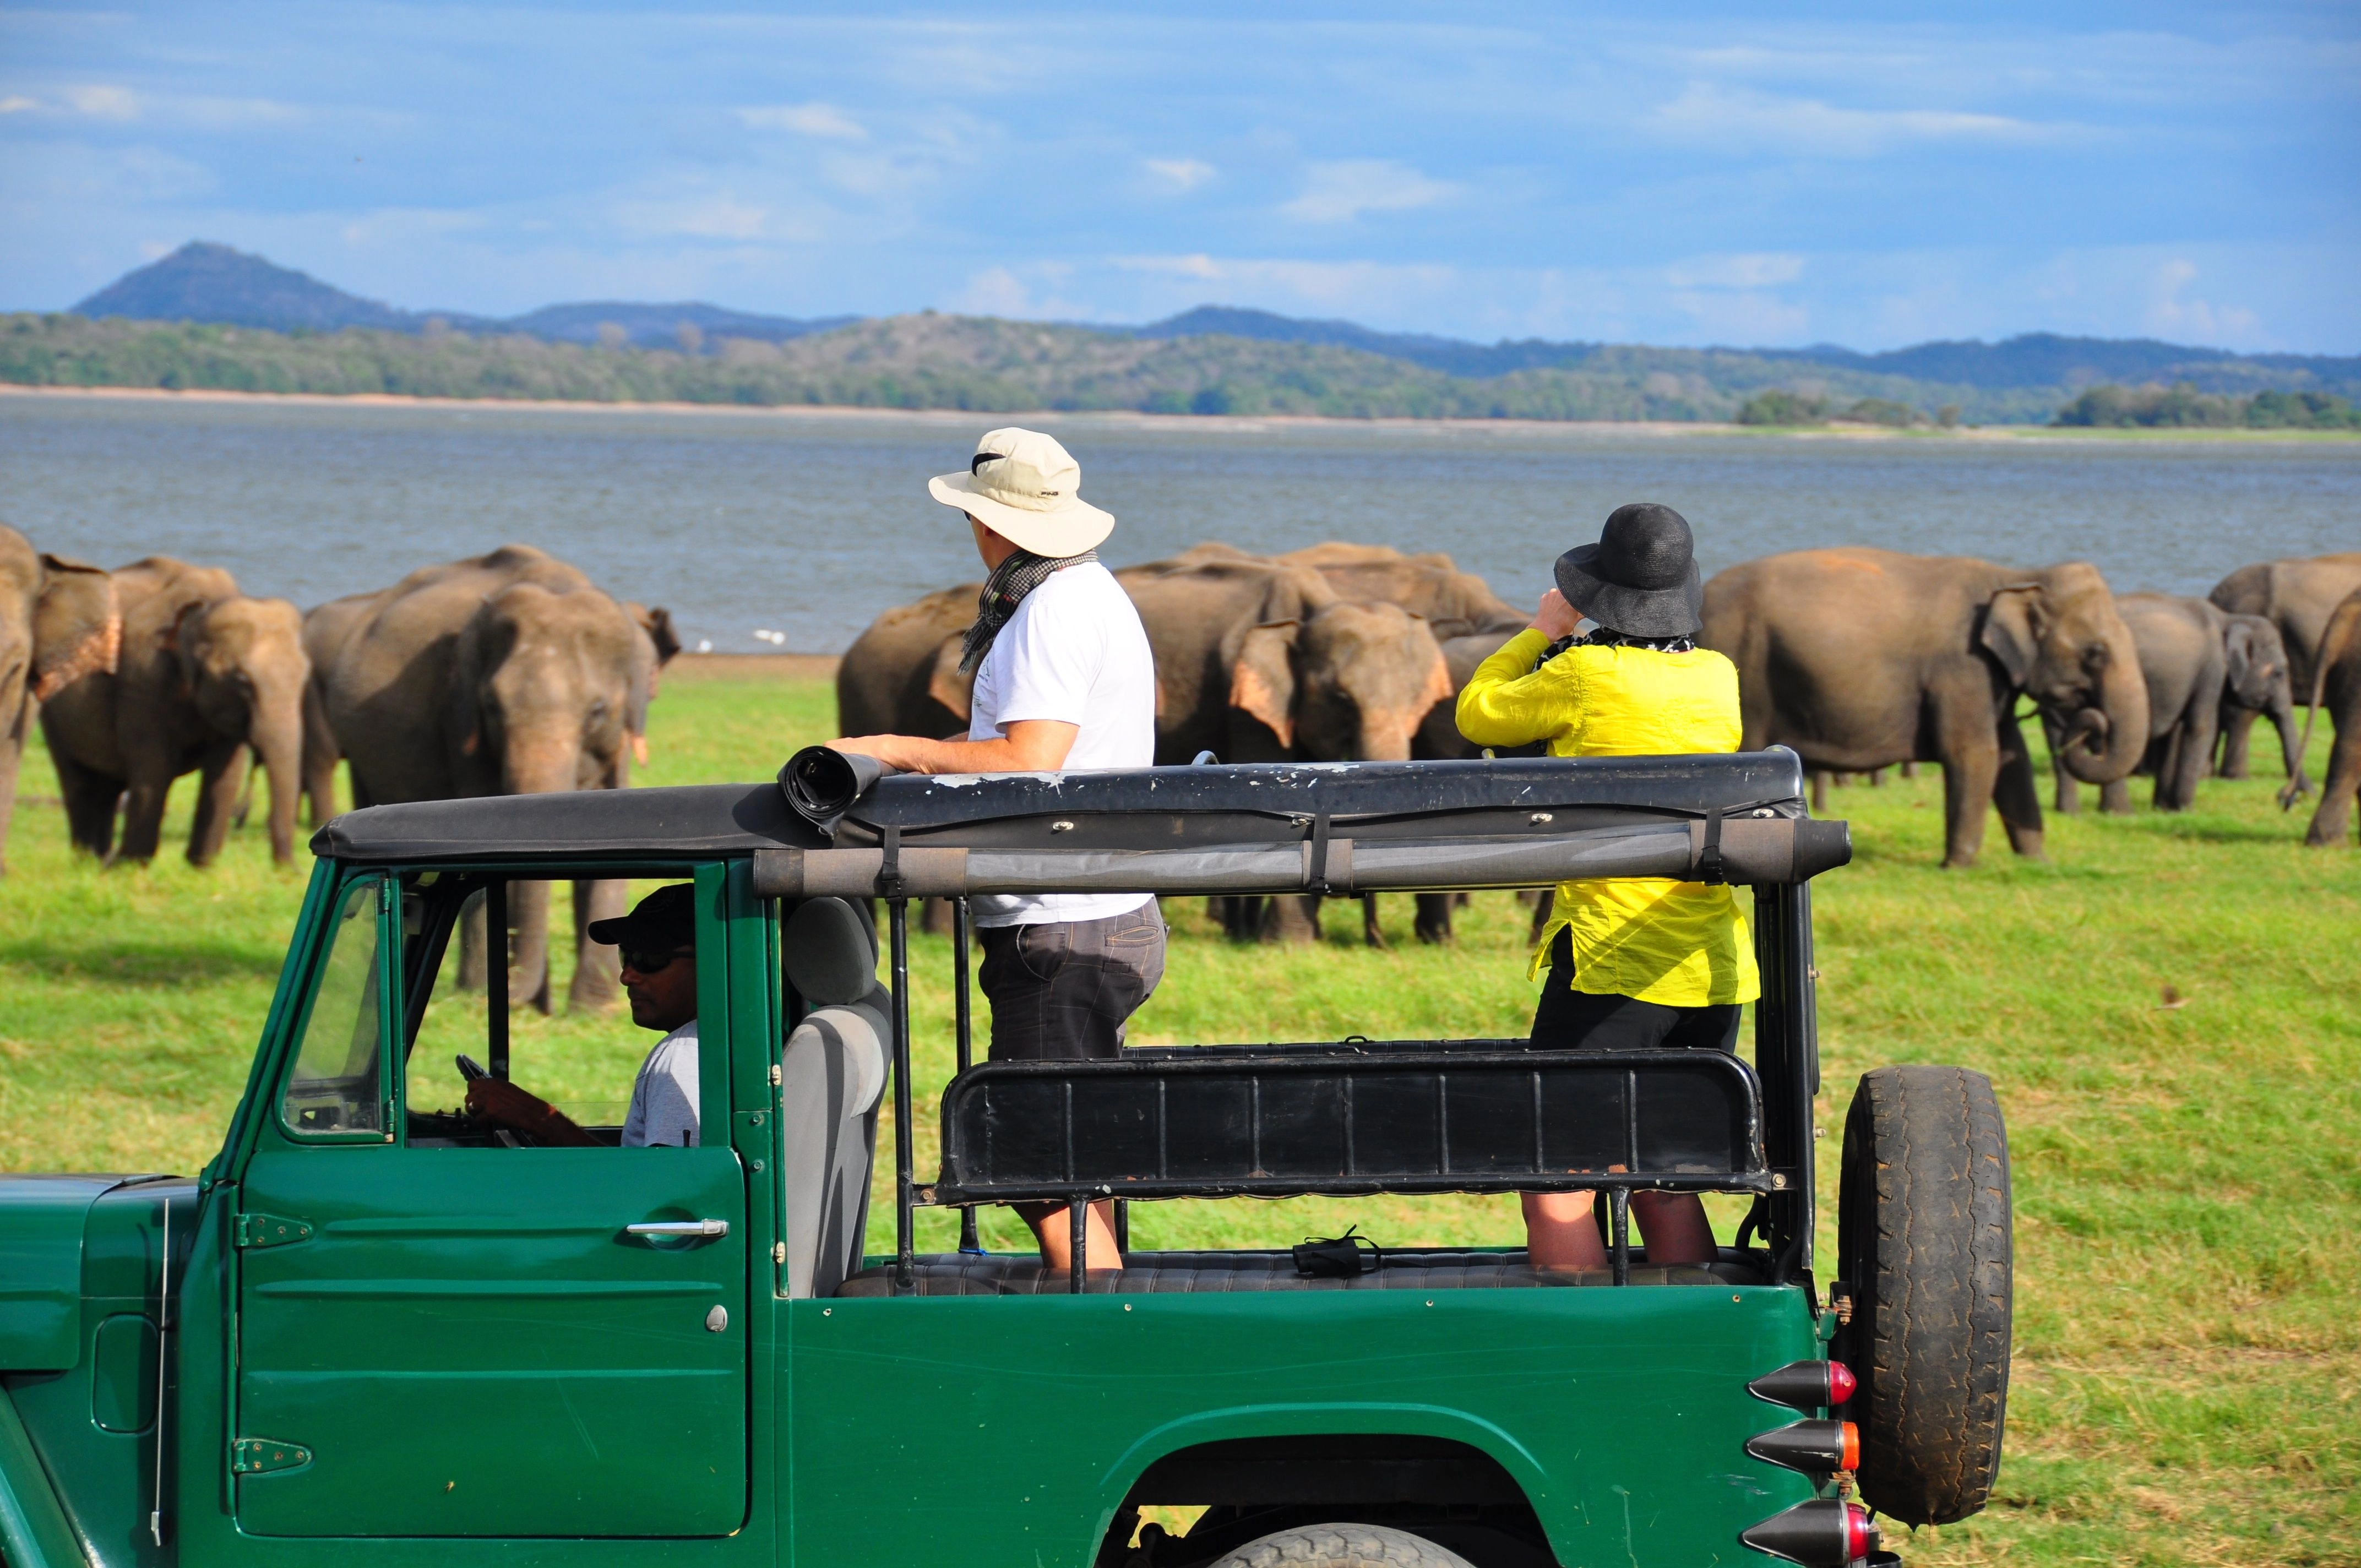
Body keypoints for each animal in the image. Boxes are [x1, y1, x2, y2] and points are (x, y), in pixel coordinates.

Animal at [38, 557, 309, 866]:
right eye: (242, 681)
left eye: (305, 677)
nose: (291, 870)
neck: (210, 605)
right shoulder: (142, 676)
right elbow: (155, 764)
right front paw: (131, 866)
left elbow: (226, 771)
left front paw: (201, 866)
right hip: (51, 707)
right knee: (78, 782)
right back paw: (91, 860)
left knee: (107, 786)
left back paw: (99, 860)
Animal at [302, 545, 678, 1012]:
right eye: (493, 706)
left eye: (596, 711)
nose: (520, 997)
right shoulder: (461, 715)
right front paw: (488, 995)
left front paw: (591, 1010)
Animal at [1702, 548, 2149, 868]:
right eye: (2095, 653)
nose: (2091, 724)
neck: (2013, 576)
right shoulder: (1961, 668)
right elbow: (1975, 754)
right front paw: (1960, 867)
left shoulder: (1990, 676)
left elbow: (2013, 758)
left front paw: (2038, 862)